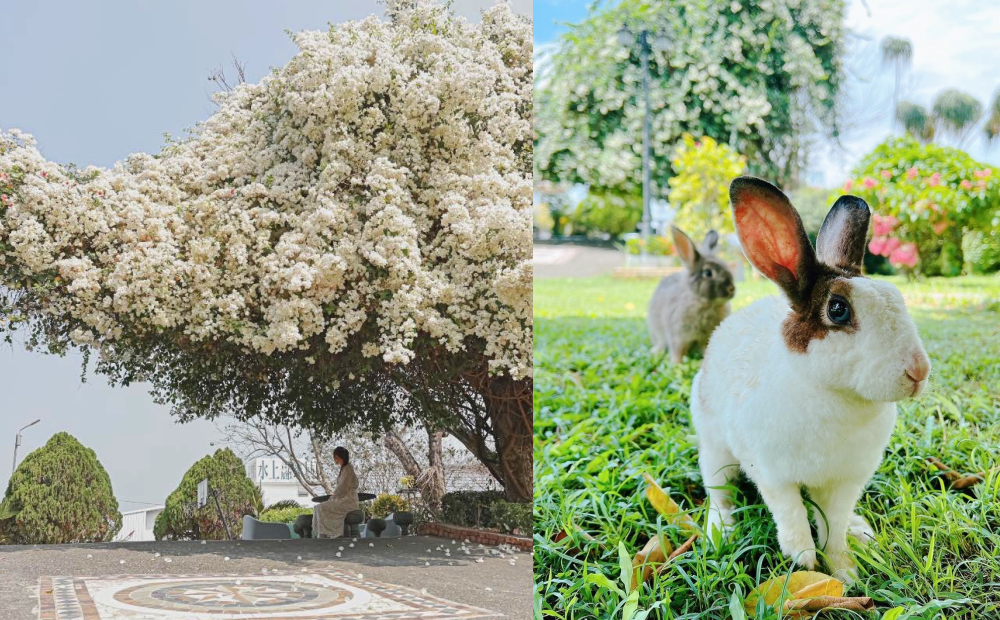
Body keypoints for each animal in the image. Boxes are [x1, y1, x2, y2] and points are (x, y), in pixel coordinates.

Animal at [648, 226, 736, 364]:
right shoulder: (677, 335)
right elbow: (677, 351)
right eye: (707, 273)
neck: (704, 302)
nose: (732, 289)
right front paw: (676, 364)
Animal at [692, 176, 932, 588]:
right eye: (838, 309)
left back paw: (859, 530)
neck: (834, 396)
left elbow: (832, 524)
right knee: (719, 491)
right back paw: (719, 531)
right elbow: (791, 514)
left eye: (897, 297)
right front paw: (803, 560)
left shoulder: (846, 481)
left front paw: (845, 570)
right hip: (715, 449)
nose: (918, 371)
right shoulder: (771, 474)